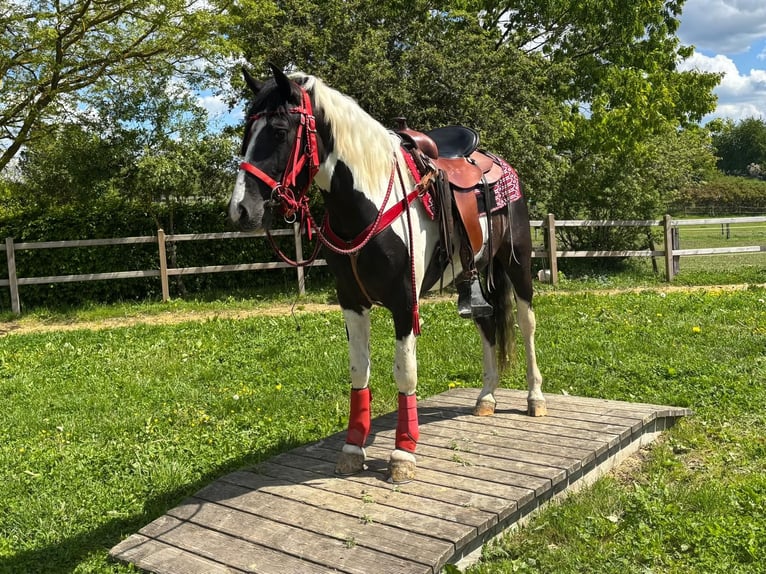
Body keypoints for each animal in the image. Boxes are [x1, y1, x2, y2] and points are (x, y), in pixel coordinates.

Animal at [228, 64, 544, 483]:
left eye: (279, 131)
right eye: (246, 133)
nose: (241, 210)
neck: (370, 200)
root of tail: (494, 161)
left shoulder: (403, 302)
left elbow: (404, 372)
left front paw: (403, 452)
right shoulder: (351, 301)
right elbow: (358, 372)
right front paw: (353, 448)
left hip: (517, 263)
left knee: (526, 324)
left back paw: (535, 398)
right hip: (475, 273)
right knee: (487, 324)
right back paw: (486, 397)